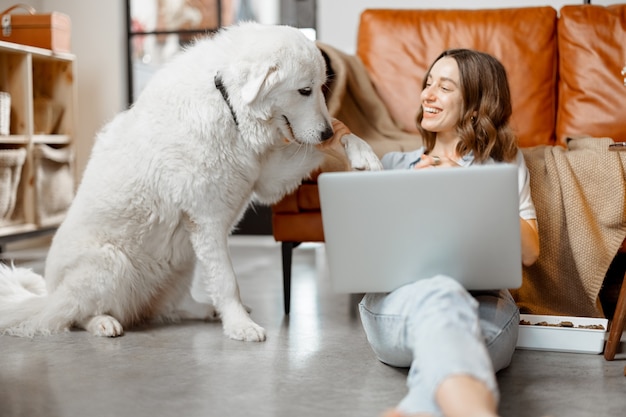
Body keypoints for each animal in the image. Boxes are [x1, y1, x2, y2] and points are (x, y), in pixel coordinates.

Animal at [0, 22, 380, 340]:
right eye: (304, 90)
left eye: (320, 89)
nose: (325, 131)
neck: (228, 105)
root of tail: (49, 295)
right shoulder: (207, 220)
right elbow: (227, 281)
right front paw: (240, 327)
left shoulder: (267, 176)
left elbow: (333, 145)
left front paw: (362, 153)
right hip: (111, 262)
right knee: (73, 315)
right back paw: (104, 322)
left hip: (181, 262)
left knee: (170, 307)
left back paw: (203, 311)